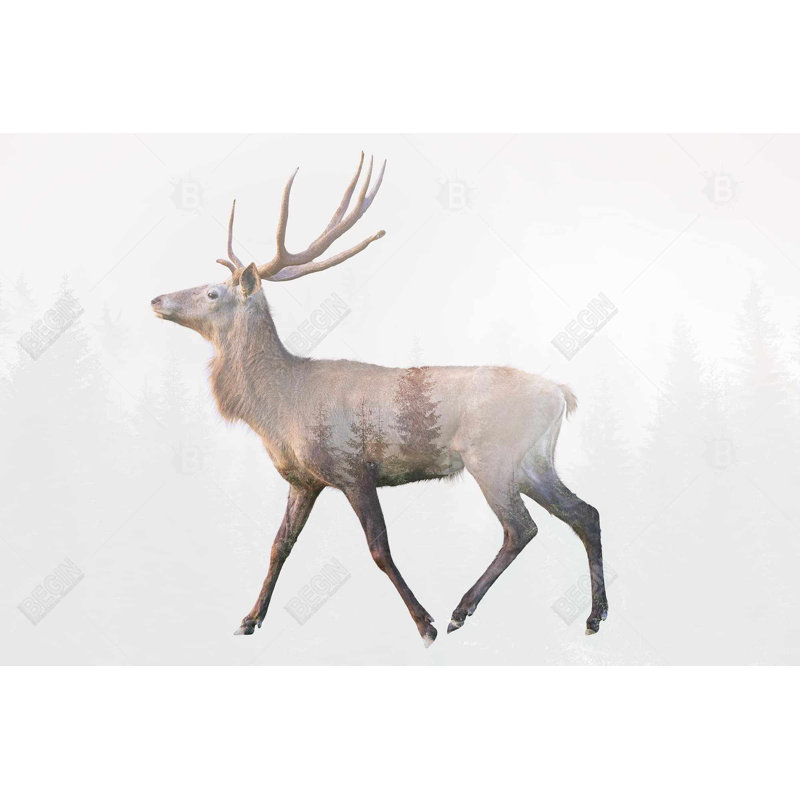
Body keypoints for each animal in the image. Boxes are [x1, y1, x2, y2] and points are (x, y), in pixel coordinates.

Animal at [151, 153, 608, 646]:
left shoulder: (353, 467)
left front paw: (423, 623)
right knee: (585, 513)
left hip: (492, 456)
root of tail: (560, 393)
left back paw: (460, 610)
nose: (156, 298)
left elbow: (378, 549)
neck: (279, 409)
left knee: (521, 528)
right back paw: (595, 616)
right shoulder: (303, 480)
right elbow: (279, 546)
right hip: (534, 461)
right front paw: (249, 619)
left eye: (212, 292)